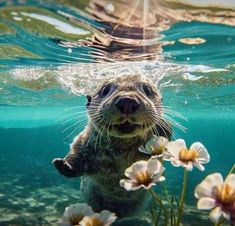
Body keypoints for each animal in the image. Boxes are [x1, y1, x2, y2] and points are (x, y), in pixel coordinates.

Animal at [52, 75, 171, 217]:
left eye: (147, 90)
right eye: (105, 90)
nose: (127, 101)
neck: (121, 153)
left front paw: (163, 126)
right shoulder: (84, 141)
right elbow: (76, 156)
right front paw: (62, 164)